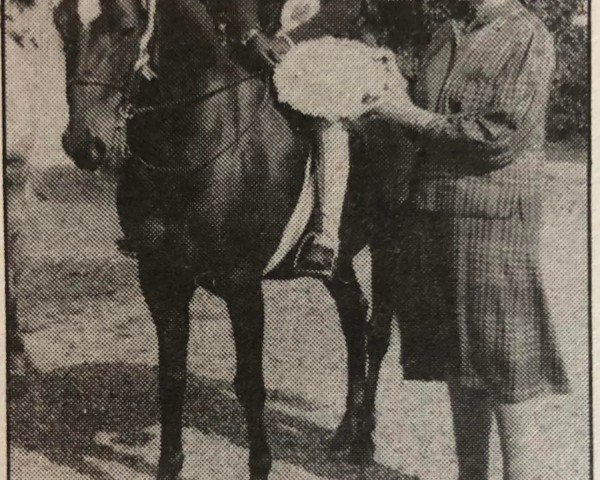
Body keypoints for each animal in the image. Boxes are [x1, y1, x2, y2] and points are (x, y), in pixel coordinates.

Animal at [54, 0, 408, 476]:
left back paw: (364, 441)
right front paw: (169, 463)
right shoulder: (160, 279)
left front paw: (260, 463)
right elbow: (172, 375)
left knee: (376, 332)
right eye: (62, 23)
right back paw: (345, 431)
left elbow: (250, 383)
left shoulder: (242, 286)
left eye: (126, 27)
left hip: (390, 244)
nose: (83, 144)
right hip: (339, 259)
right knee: (353, 315)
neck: (194, 139)